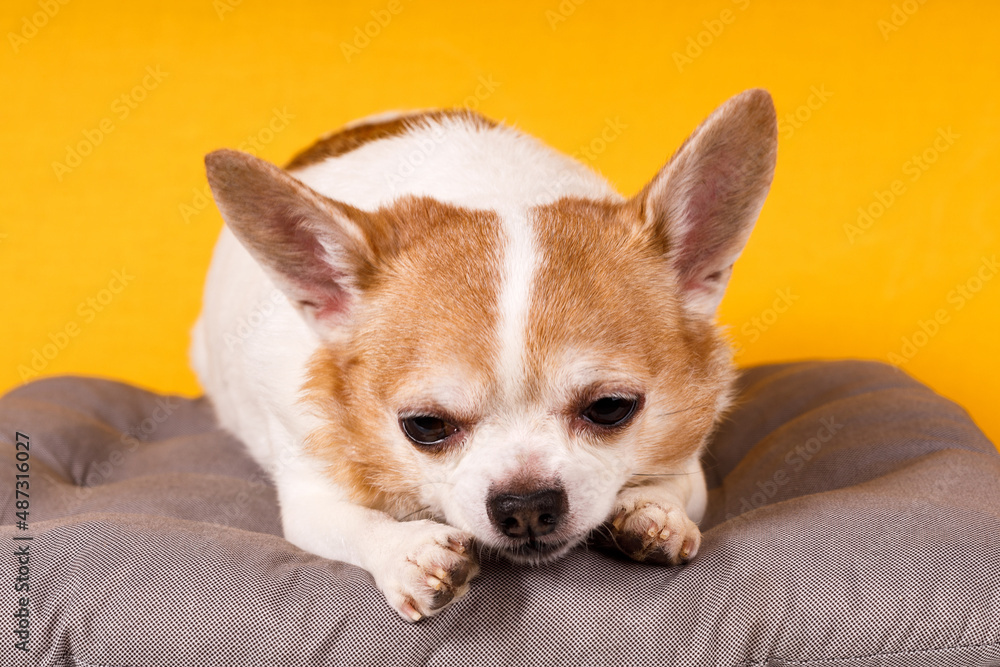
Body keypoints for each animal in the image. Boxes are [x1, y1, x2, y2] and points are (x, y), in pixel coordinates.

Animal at [191, 87, 776, 620]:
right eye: (425, 425)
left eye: (611, 408)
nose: (526, 505)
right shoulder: (310, 492)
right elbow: (358, 522)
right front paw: (407, 552)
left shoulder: (686, 453)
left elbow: (675, 484)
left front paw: (652, 512)